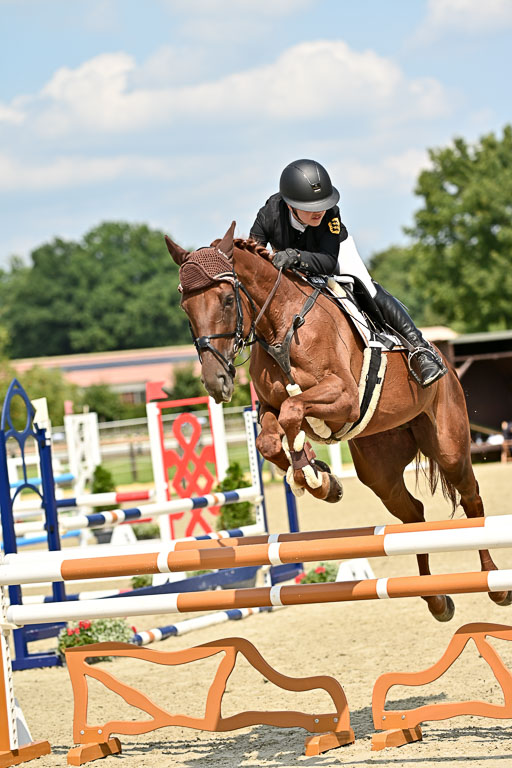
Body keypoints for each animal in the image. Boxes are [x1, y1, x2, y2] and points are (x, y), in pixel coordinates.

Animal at [164, 221, 511, 622]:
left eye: (225, 299)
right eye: (185, 306)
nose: (215, 382)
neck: (281, 324)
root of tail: (447, 363)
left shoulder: (342, 397)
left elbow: (293, 411)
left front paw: (314, 475)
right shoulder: (268, 407)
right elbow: (272, 436)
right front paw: (319, 479)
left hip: (449, 446)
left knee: (472, 502)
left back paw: (495, 584)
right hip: (379, 470)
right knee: (413, 515)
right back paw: (436, 600)